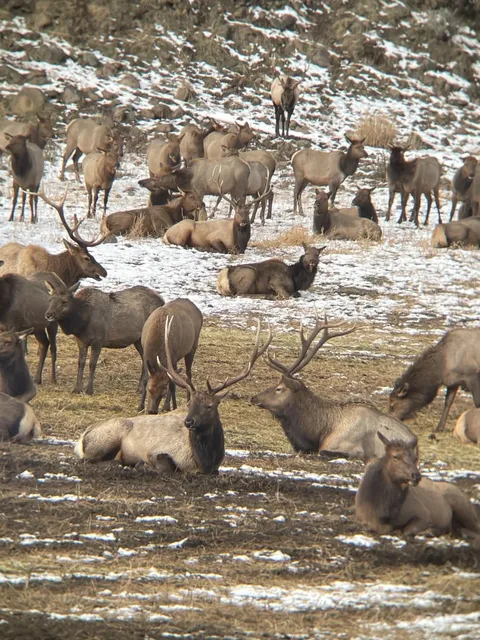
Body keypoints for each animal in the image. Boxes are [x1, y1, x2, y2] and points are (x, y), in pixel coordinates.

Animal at [75, 319, 272, 474]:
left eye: (210, 405)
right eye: (190, 404)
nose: (189, 422)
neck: (205, 460)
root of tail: (82, 437)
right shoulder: (156, 452)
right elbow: (166, 464)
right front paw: (142, 465)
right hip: (108, 438)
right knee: (87, 460)